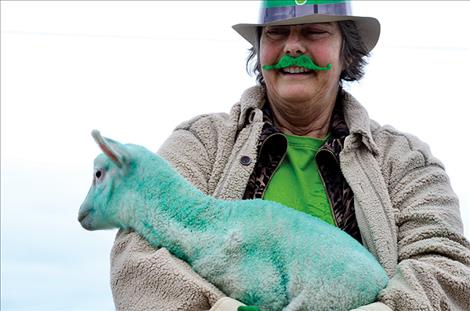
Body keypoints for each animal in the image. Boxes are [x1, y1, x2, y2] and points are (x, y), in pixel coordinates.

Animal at [79, 130, 388, 311]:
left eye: (98, 174)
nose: (80, 214)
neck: (207, 222)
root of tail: (381, 282)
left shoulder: (263, 290)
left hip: (325, 295)